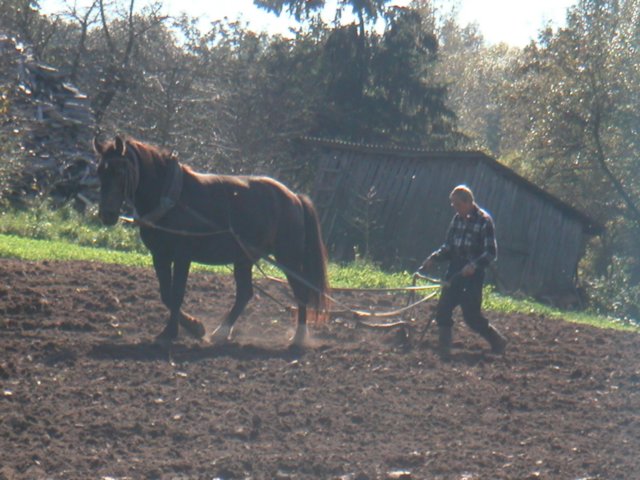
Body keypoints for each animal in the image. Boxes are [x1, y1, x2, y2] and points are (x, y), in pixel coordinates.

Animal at [94, 134, 330, 344]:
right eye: (100, 172)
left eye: (119, 171)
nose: (107, 214)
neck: (170, 197)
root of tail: (294, 197)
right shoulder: (160, 255)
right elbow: (166, 294)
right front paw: (194, 327)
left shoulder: (182, 256)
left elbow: (177, 294)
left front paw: (172, 332)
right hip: (244, 258)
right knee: (245, 293)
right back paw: (222, 332)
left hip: (288, 257)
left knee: (300, 291)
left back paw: (299, 336)